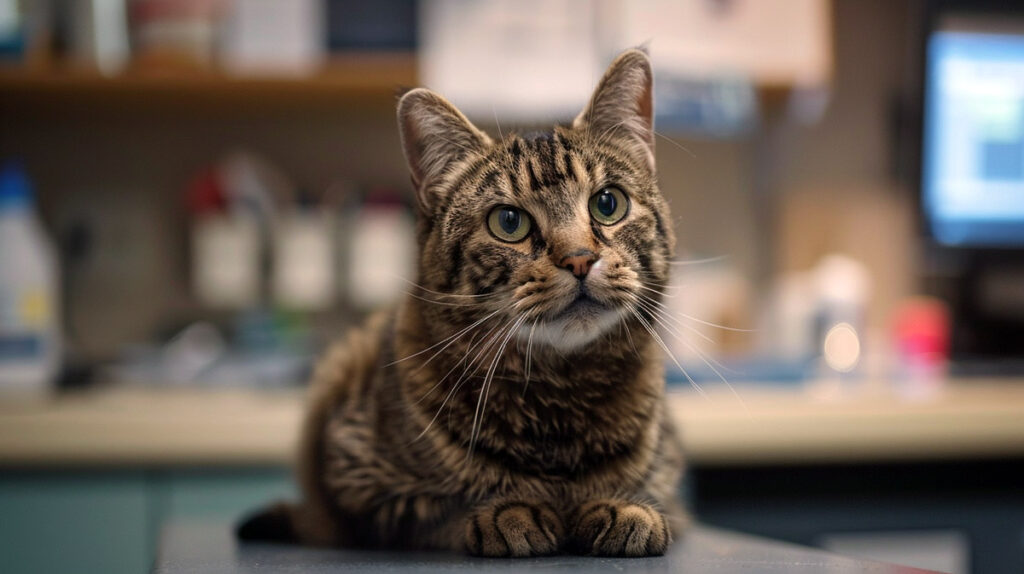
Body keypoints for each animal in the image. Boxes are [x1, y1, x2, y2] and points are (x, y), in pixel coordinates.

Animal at [237, 48, 688, 556]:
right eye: (508, 222)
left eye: (608, 204)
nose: (578, 258)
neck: (561, 401)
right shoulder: (358, 488)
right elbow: (434, 515)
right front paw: (509, 512)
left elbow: (651, 498)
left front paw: (624, 507)